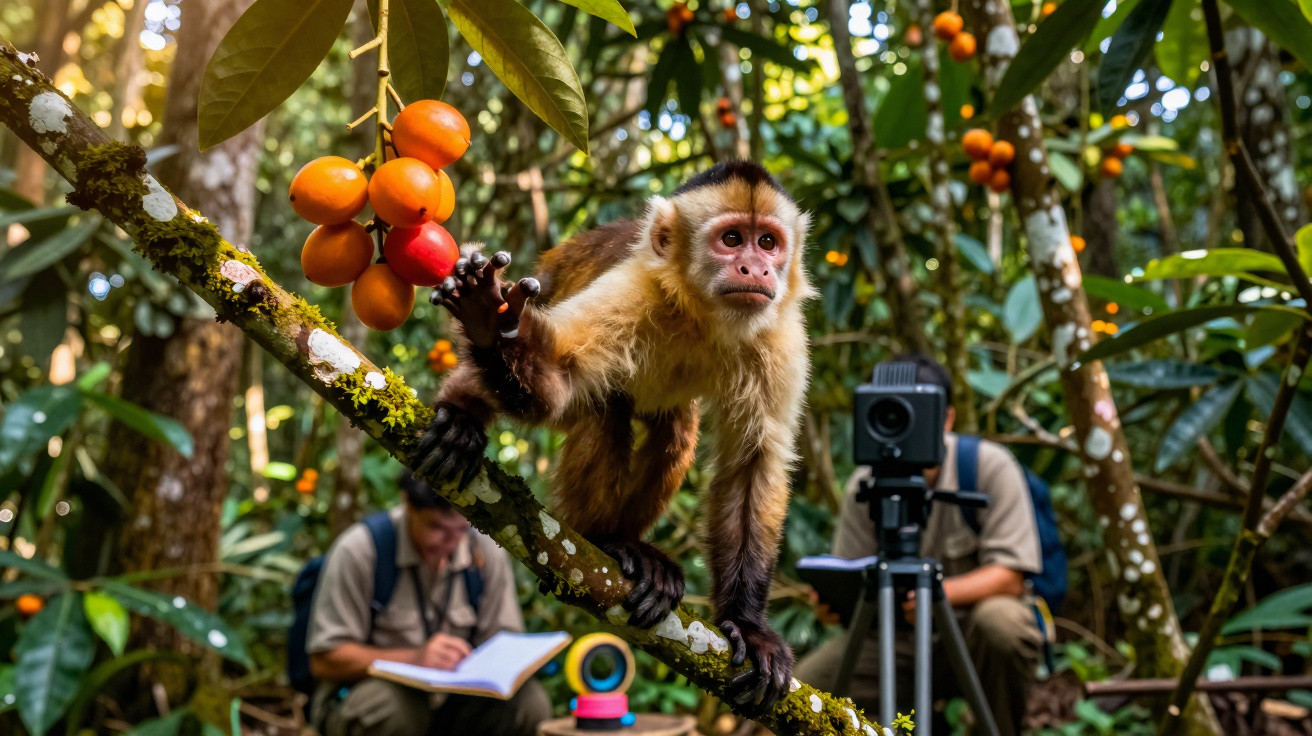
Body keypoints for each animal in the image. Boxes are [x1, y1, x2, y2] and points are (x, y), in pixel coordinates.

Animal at [416, 161, 814, 712]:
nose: (756, 269)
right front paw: (487, 322)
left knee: (675, 429)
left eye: (769, 242)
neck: (702, 316)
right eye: (732, 239)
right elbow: (556, 380)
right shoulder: (635, 288)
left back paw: (633, 546)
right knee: (600, 406)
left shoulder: (780, 336)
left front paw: (748, 627)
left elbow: (753, 465)